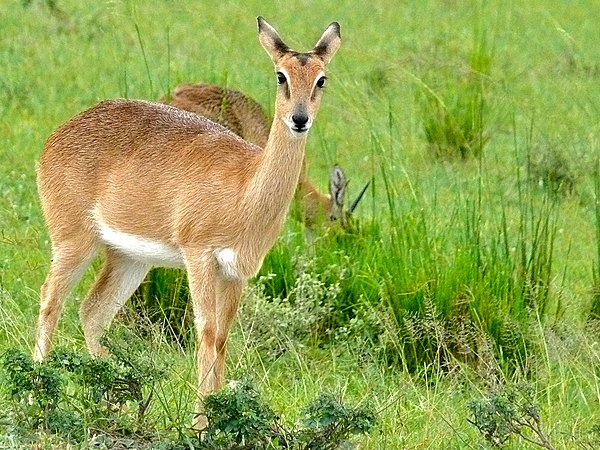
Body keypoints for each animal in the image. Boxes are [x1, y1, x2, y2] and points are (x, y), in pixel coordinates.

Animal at [34, 14, 342, 428]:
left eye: (321, 78)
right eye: (281, 75)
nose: (299, 119)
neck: (244, 187)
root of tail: (59, 133)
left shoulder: (237, 272)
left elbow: (222, 337)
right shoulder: (199, 257)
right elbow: (206, 332)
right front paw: (200, 426)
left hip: (130, 259)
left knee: (93, 312)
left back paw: (119, 407)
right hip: (74, 241)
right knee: (50, 301)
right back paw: (39, 398)